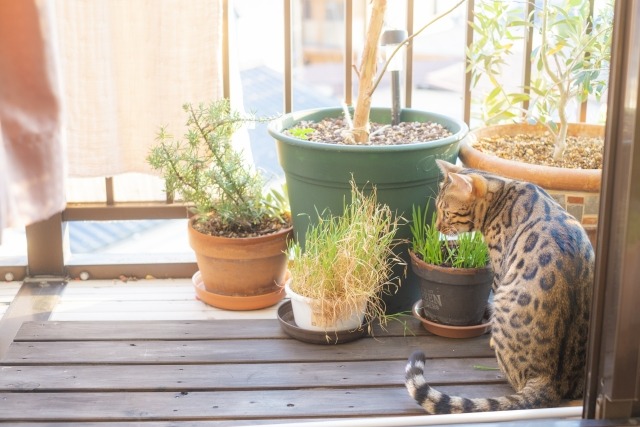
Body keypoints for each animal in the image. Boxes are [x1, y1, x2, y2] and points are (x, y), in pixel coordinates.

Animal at [404, 160, 596, 414]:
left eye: (446, 211)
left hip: (505, 297)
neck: (503, 192)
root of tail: (551, 382)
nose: (436, 226)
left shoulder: (498, 269)